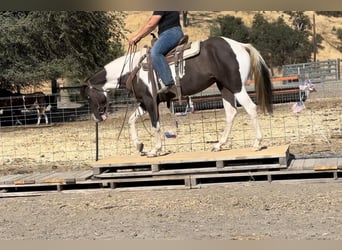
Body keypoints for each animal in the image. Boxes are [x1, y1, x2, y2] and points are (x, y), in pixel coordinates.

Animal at [80, 36, 272, 157]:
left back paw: (257, 143)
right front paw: (139, 145)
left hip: (236, 86)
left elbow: (155, 125)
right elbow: (131, 120)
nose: (97, 118)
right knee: (231, 113)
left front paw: (155, 150)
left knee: (251, 108)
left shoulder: (150, 100)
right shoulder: (146, 101)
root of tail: (240, 45)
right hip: (224, 87)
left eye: (88, 97)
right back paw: (218, 145)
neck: (133, 70)